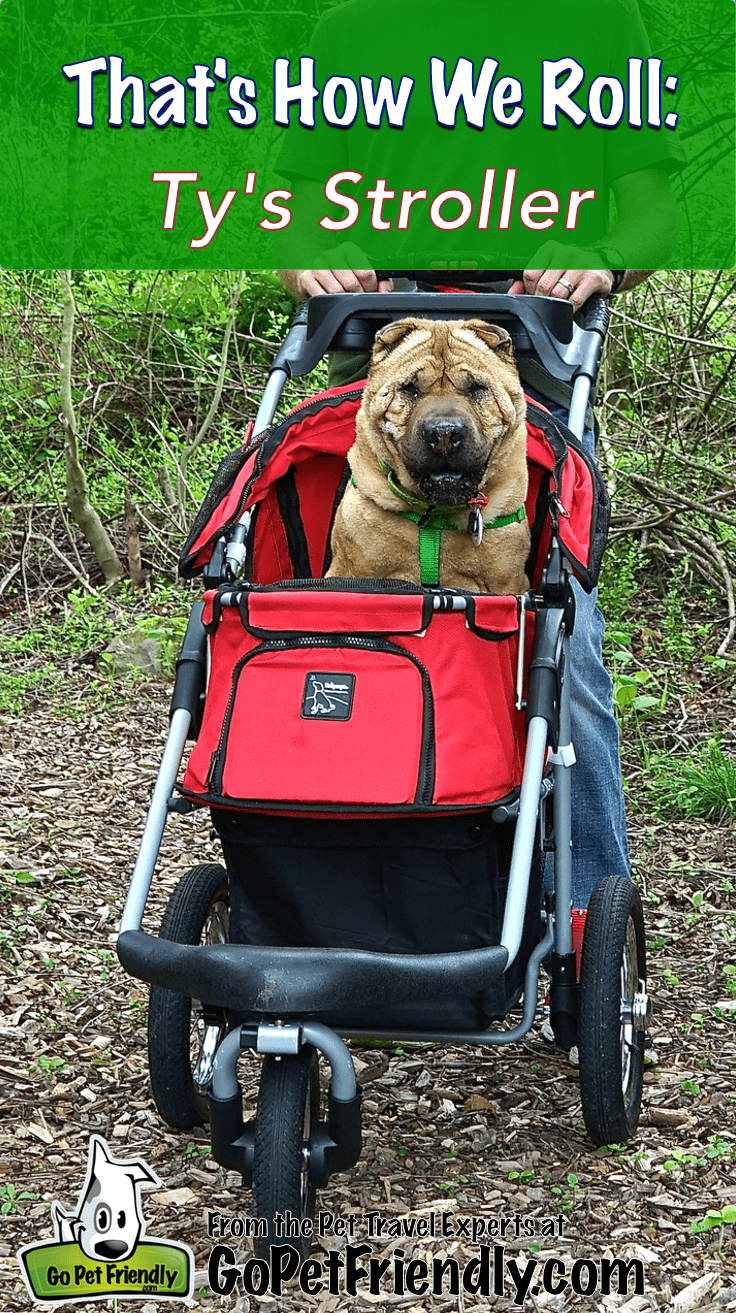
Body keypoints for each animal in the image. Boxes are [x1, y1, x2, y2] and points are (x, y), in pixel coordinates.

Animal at [325, 316, 527, 590]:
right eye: (410, 388)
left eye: (476, 387)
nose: (444, 433)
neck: (434, 522)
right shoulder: (350, 570)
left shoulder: (507, 582)